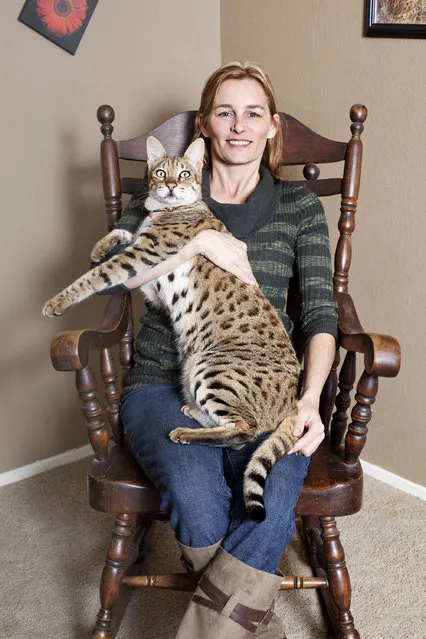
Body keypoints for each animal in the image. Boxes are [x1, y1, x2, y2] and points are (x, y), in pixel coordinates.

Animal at [43, 138, 302, 524]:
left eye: (185, 175)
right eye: (161, 172)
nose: (169, 187)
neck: (164, 209)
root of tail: (294, 401)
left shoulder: (143, 256)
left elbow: (96, 275)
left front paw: (58, 301)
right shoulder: (144, 266)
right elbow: (122, 233)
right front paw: (100, 245)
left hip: (210, 365)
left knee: (245, 430)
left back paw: (186, 431)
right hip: (194, 366)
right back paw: (194, 413)